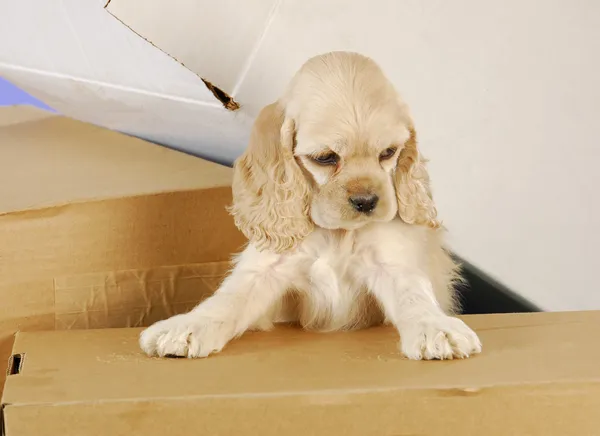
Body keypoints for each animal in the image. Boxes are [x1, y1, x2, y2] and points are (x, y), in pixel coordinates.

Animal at [138, 51, 480, 362]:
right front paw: (185, 327)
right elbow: (228, 299)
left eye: (388, 152)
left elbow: (414, 295)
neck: (337, 233)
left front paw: (437, 328)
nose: (368, 202)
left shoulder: (393, 264)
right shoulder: (266, 269)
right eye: (325, 157)